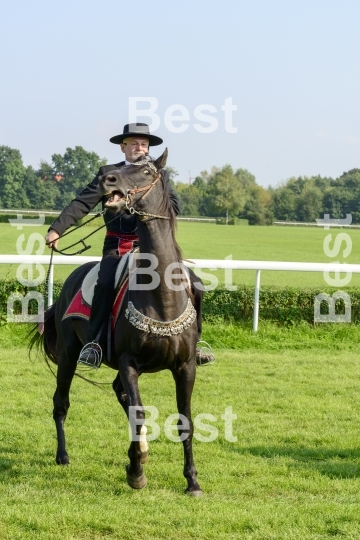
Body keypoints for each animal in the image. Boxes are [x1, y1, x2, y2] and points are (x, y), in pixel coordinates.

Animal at [31, 150, 202, 496]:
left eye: (147, 170)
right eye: (117, 169)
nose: (106, 179)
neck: (161, 298)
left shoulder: (185, 366)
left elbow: (185, 420)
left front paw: (192, 480)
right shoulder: (128, 363)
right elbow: (137, 412)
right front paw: (136, 472)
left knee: (119, 394)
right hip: (69, 355)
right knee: (61, 402)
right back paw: (63, 455)